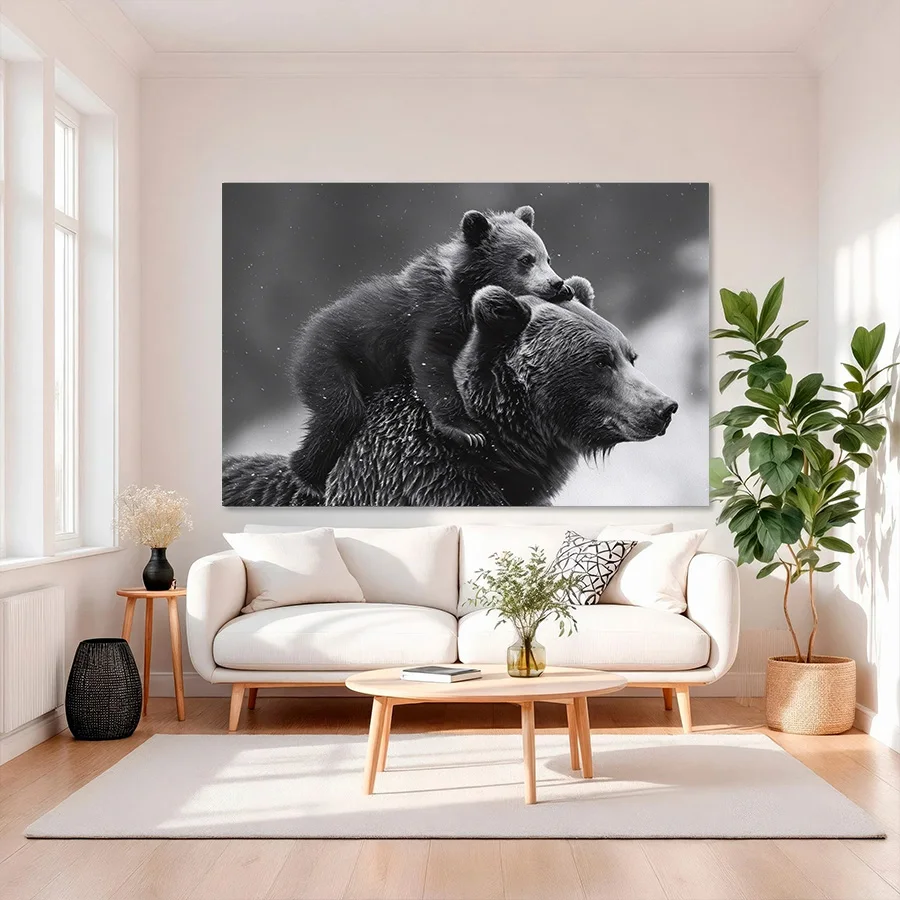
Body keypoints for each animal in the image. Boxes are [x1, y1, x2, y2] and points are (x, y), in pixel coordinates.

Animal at [286, 205, 568, 501]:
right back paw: (308, 477)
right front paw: (467, 431)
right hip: (330, 357)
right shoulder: (435, 313)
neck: (466, 288)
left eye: (547, 257)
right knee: (341, 412)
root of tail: (306, 332)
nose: (556, 283)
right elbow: (431, 360)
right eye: (525, 259)